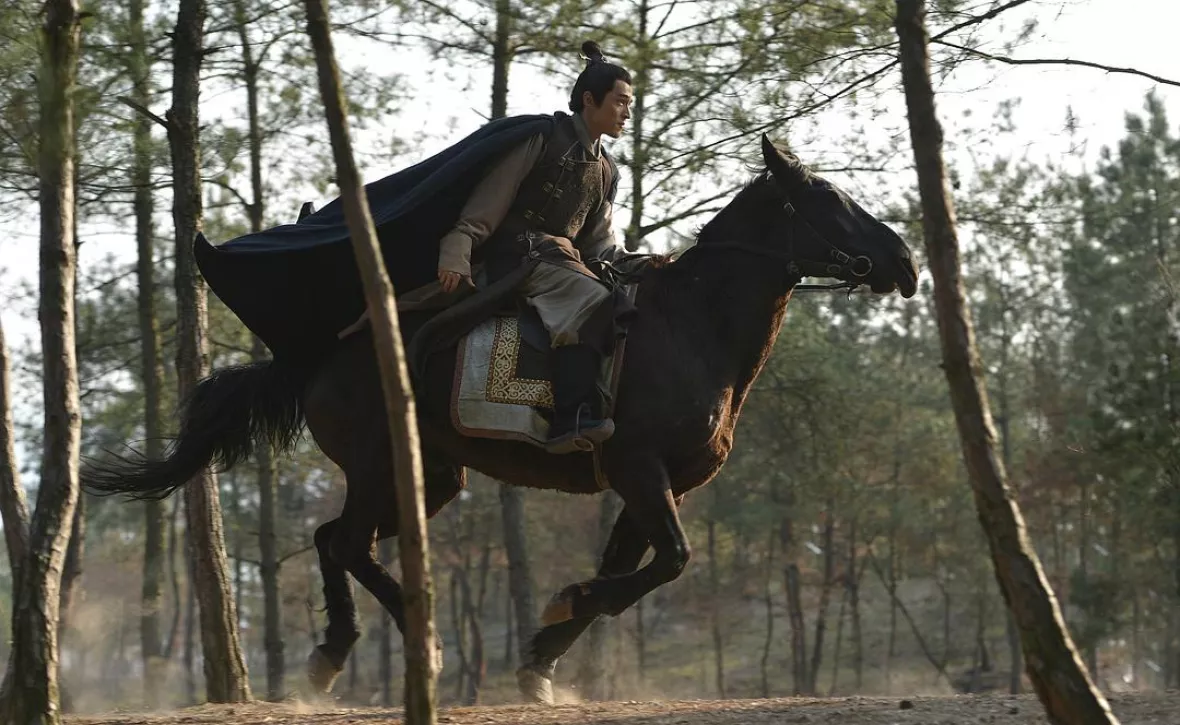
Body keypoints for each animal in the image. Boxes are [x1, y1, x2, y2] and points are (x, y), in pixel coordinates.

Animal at [87, 136, 920, 703]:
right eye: (828, 198)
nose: (907, 262)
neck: (692, 327)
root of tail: (321, 357)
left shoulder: (652, 486)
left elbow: (630, 568)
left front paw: (542, 658)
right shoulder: (640, 471)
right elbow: (668, 562)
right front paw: (557, 615)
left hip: (431, 477)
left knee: (334, 540)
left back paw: (334, 653)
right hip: (380, 462)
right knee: (348, 542)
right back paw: (419, 646)